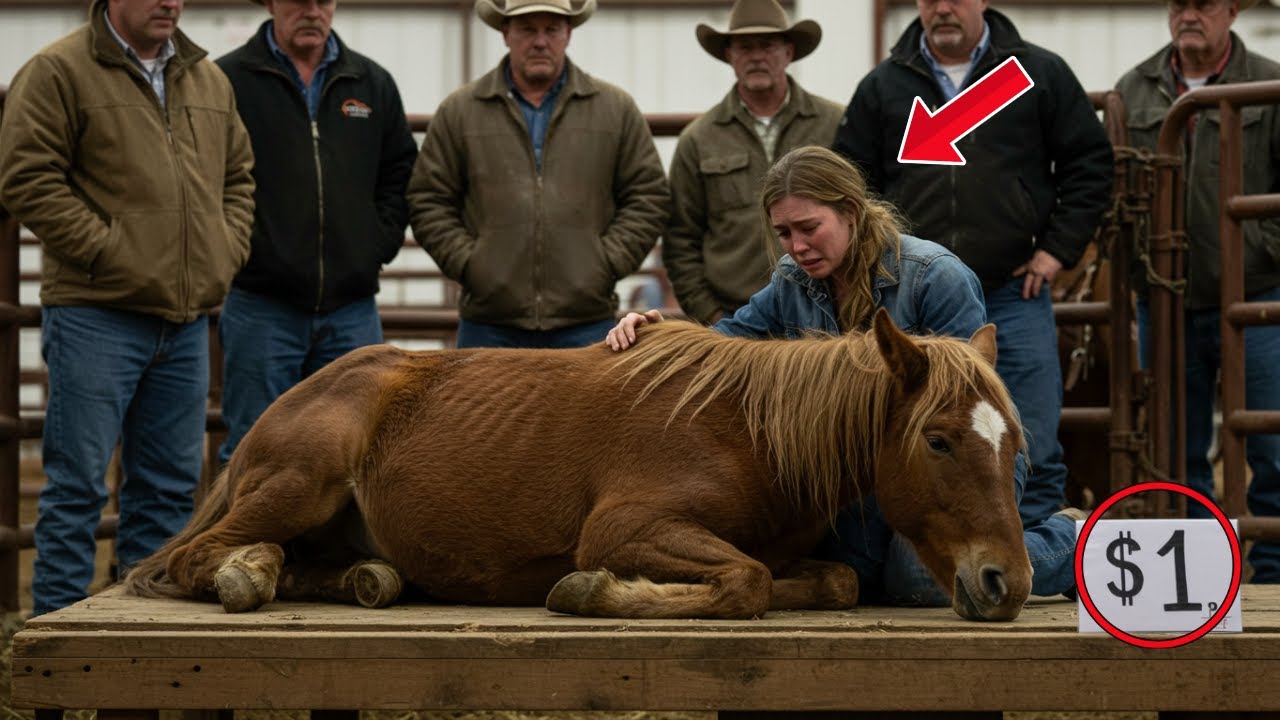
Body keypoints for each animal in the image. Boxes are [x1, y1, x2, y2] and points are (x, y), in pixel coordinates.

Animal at [124, 308, 1032, 621]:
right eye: (938, 439)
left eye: (1012, 443)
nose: (1007, 584)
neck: (747, 430)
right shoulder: (628, 528)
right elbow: (745, 582)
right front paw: (596, 592)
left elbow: (831, 580)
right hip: (300, 482)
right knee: (191, 559)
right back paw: (246, 571)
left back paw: (360, 579)